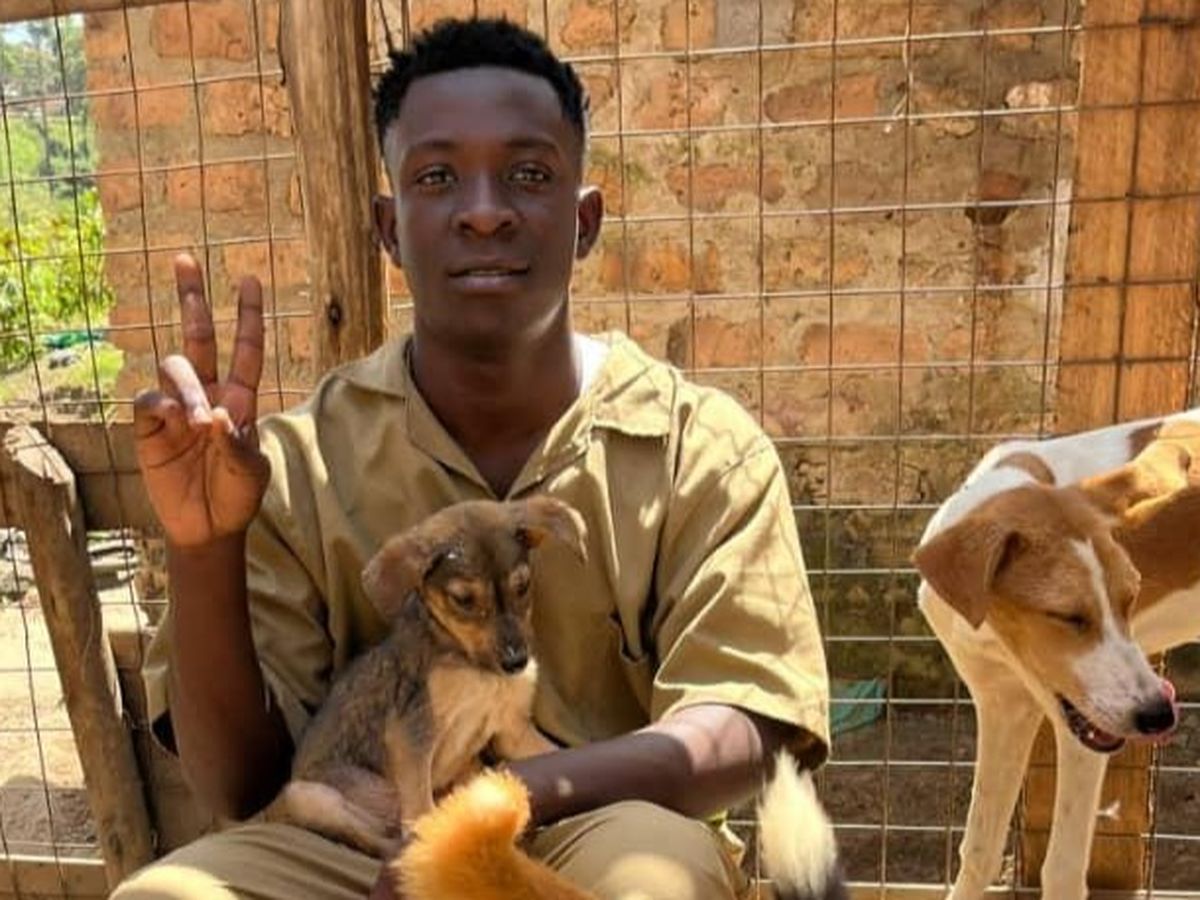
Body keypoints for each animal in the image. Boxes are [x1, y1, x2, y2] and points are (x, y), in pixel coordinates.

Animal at [265, 496, 586, 858]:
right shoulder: (411, 733)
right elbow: (420, 806)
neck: (475, 669)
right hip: (308, 797)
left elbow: (559, 753)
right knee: (375, 840)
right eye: (463, 599)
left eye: (522, 586)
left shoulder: (512, 731)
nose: (517, 662)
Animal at [913, 407, 1200, 900]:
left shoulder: (1082, 736)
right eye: (1066, 615)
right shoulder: (1003, 707)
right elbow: (979, 850)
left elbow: (1061, 869)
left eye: (1131, 598)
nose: (1159, 715)